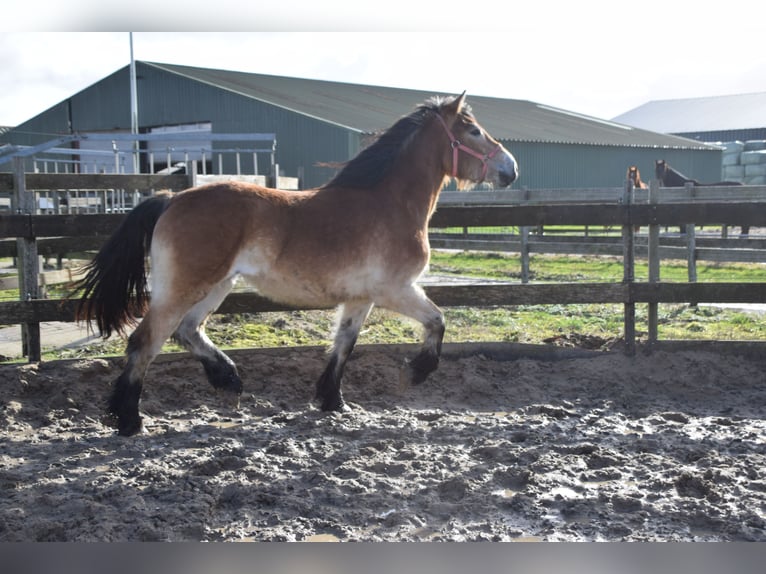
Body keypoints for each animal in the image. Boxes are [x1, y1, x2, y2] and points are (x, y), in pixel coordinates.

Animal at [73, 93, 519, 436]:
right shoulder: (395, 290)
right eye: (474, 131)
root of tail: (170, 199)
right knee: (146, 341)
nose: (510, 169)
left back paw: (228, 380)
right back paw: (130, 420)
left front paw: (332, 401)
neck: (389, 203)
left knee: (187, 330)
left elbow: (344, 344)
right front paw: (413, 374)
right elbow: (438, 322)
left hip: (218, 285)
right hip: (185, 287)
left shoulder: (360, 298)